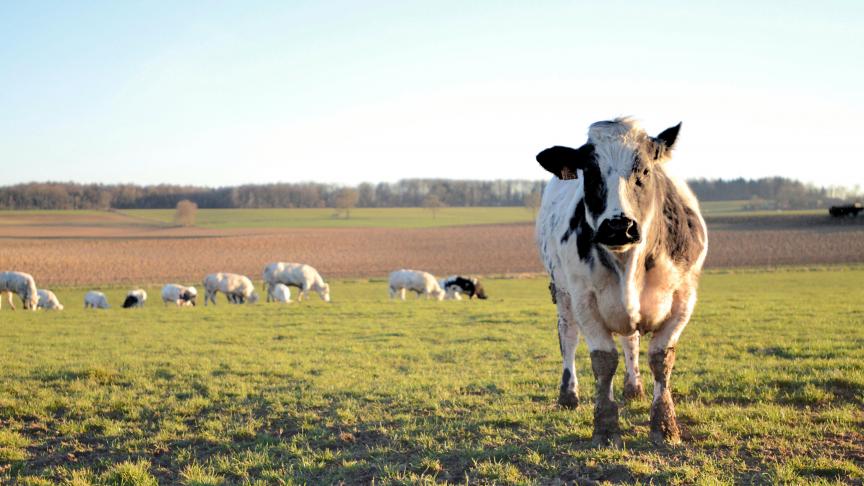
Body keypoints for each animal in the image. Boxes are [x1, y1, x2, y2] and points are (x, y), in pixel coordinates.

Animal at [532, 118, 708, 448]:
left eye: (645, 171)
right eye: (590, 172)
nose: (618, 227)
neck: (628, 264)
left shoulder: (684, 297)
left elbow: (660, 358)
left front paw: (664, 425)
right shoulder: (584, 298)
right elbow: (603, 360)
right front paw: (605, 426)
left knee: (631, 340)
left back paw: (633, 387)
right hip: (561, 292)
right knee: (568, 337)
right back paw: (568, 395)